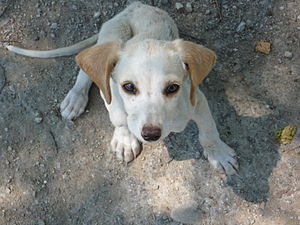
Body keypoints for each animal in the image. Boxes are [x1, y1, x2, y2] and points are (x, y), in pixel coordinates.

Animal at [5, 1, 238, 175]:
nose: (150, 134)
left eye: (172, 88)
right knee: (87, 70)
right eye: (129, 87)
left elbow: (208, 130)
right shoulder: (110, 91)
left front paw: (219, 155)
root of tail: (135, 5)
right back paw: (75, 99)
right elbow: (118, 116)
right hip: (114, 36)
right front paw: (125, 139)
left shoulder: (196, 100)